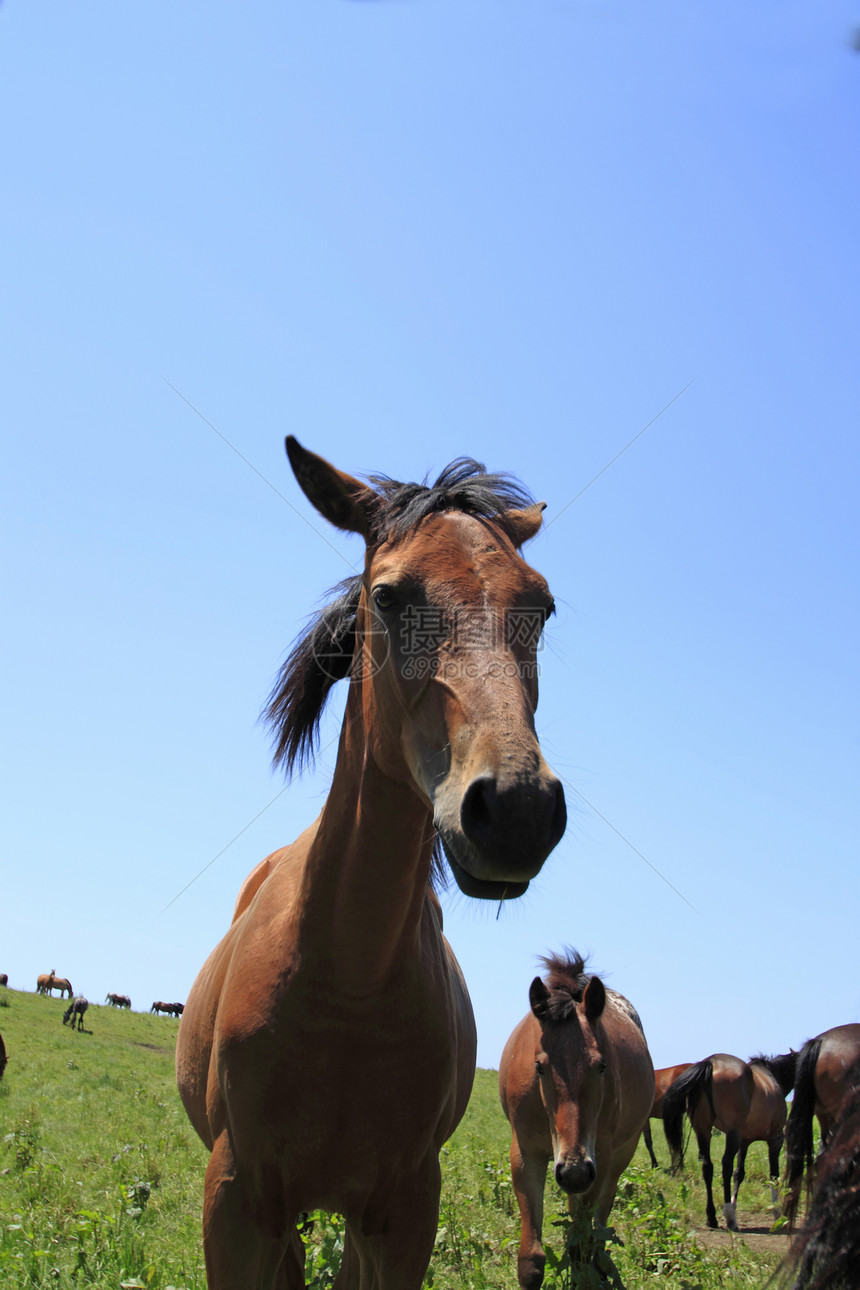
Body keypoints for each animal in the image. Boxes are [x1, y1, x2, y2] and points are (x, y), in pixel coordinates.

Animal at [175, 443, 564, 1290]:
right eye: (388, 597)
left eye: (543, 607)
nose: (517, 808)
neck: (346, 982)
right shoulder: (237, 1200)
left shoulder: (405, 1208)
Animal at [497, 949, 652, 1290]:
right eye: (539, 1067)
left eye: (601, 1065)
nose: (575, 1172)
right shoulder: (525, 1155)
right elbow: (531, 1260)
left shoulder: (601, 1157)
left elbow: (582, 1246)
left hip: (618, 1157)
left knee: (599, 1225)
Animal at [665, 1047, 758, 1228]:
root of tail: (710, 1063)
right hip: (732, 1131)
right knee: (726, 1165)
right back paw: (729, 1216)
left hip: (702, 1130)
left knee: (707, 1167)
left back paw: (711, 1217)